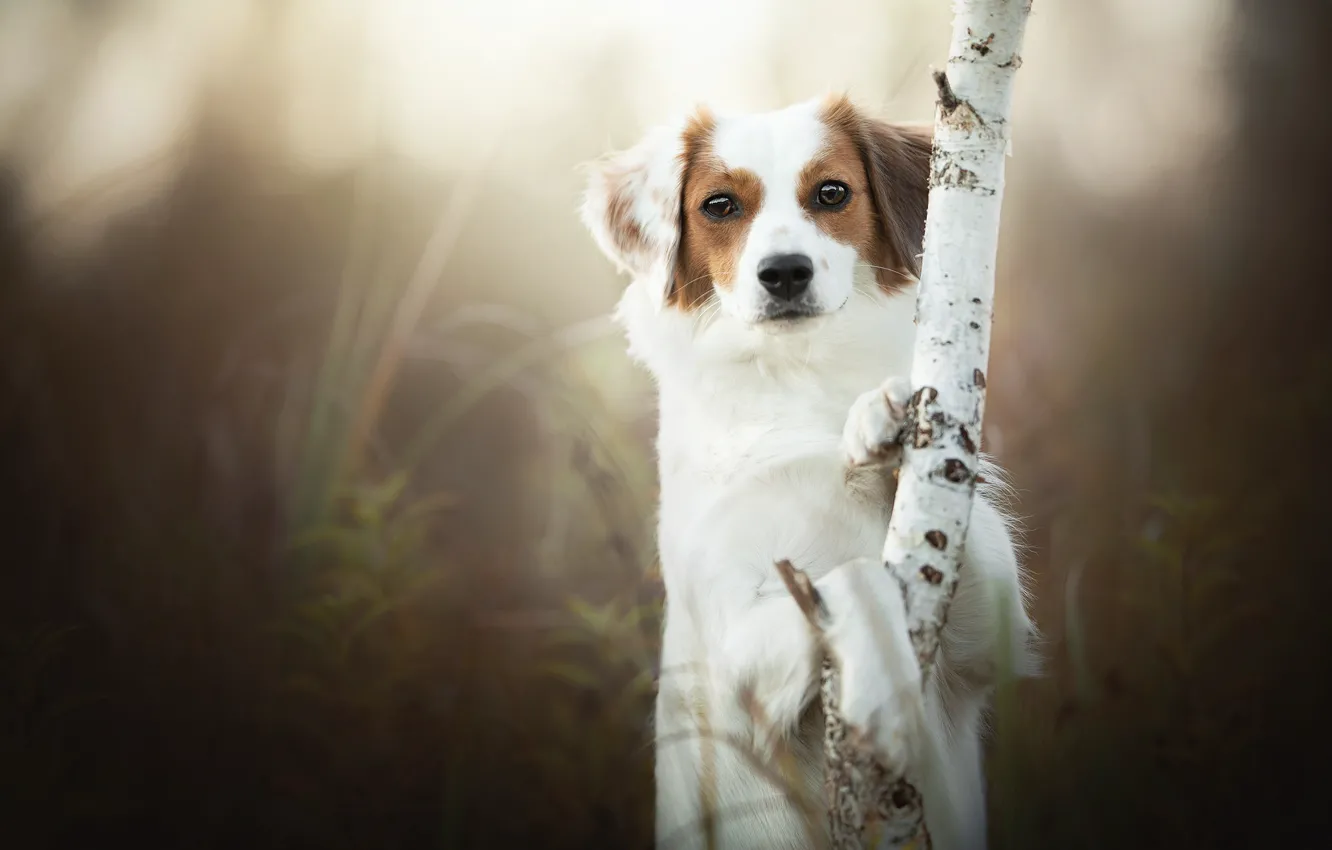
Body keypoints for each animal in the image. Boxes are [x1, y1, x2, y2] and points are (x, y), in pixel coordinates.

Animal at [578, 94, 1033, 850]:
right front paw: (884, 693)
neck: (794, 378)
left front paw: (879, 418)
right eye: (720, 204)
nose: (785, 272)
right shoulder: (732, 669)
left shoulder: (982, 643)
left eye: (832, 193)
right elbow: (851, 576)